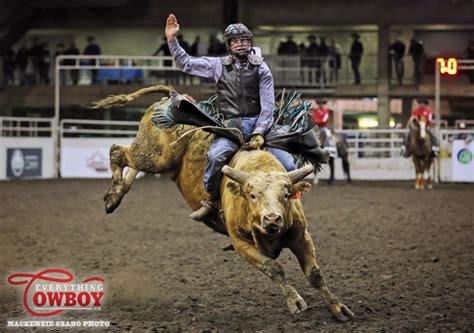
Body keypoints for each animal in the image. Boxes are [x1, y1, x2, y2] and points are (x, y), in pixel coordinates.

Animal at [92, 85, 354, 320]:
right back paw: (113, 195)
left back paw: (117, 192)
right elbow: (274, 267)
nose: (272, 218)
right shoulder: (240, 243)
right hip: (155, 156)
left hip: (154, 158)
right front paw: (296, 301)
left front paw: (339, 308)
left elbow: (315, 274)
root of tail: (171, 97)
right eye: (252, 195)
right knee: (117, 152)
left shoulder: (301, 236)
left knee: (130, 162)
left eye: (287, 194)